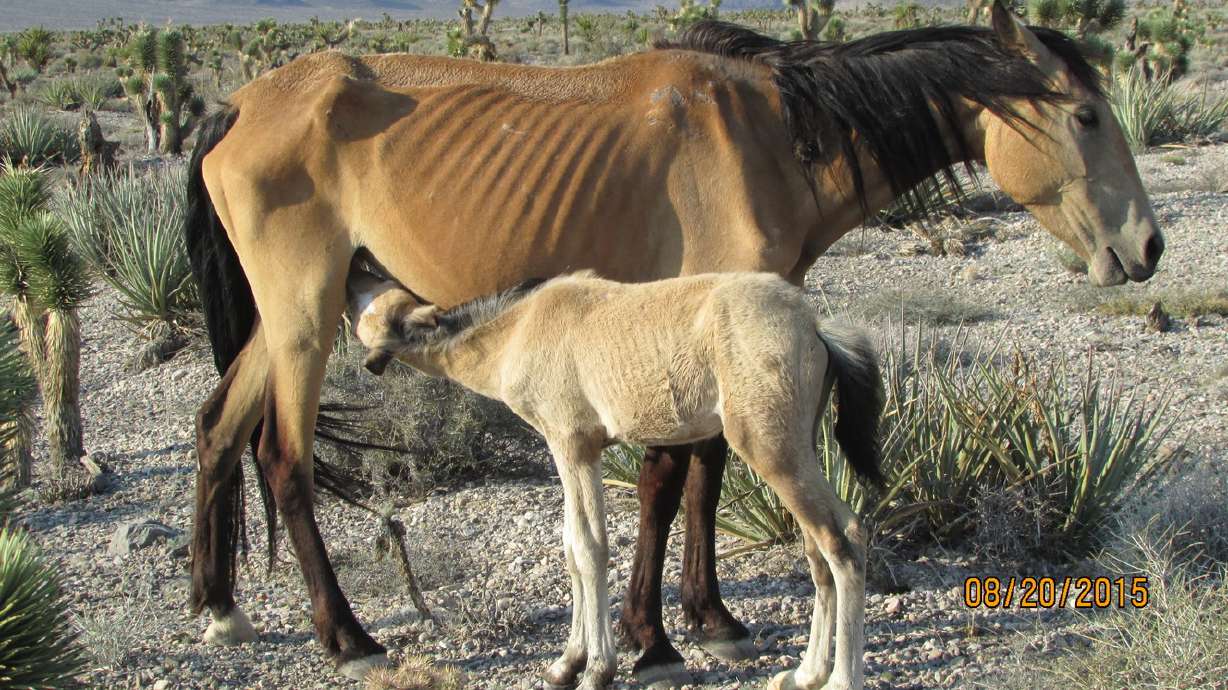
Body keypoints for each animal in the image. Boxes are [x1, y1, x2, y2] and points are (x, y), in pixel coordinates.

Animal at [347, 268, 885, 690]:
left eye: (369, 304)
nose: (354, 267)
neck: (517, 330)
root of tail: (815, 326)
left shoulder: (574, 446)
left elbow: (590, 548)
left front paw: (597, 669)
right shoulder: (567, 451)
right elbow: (570, 547)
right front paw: (566, 663)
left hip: (771, 449)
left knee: (842, 538)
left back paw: (841, 679)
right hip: (800, 447)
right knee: (821, 546)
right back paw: (805, 674)